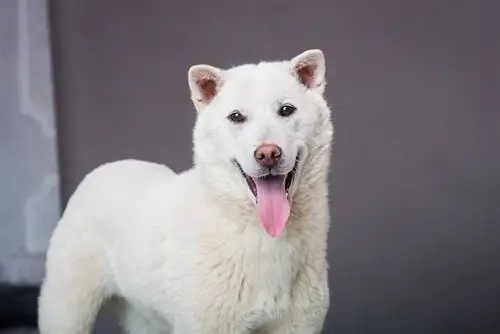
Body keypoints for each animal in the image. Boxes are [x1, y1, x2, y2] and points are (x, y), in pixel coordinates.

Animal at [39, 48, 334, 332]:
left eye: (286, 110)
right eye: (236, 117)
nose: (268, 154)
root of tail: (104, 168)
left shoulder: (299, 324)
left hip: (144, 317)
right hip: (67, 307)